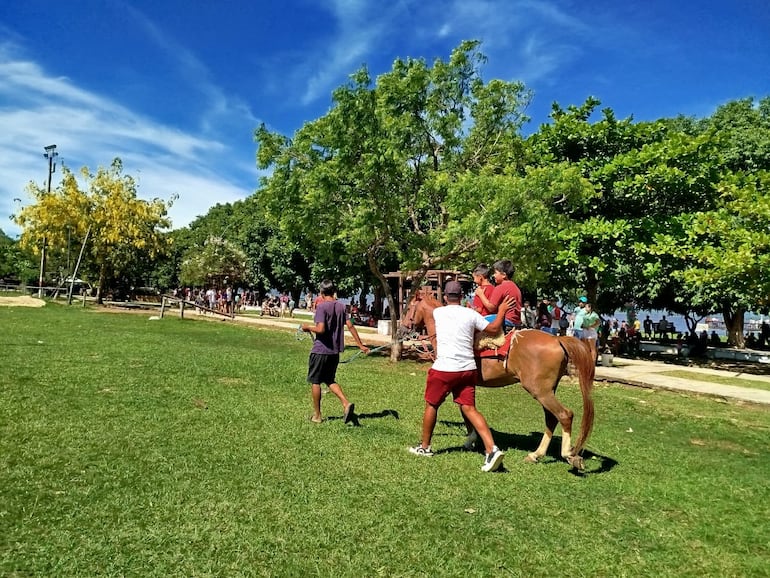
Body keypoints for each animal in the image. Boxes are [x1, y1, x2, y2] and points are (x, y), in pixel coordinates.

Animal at [400, 290, 596, 470]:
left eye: (409, 308)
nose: (403, 328)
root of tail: (557, 340)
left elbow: (464, 410)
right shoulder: (465, 384)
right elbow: (466, 410)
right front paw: (472, 439)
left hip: (540, 391)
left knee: (564, 415)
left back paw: (568, 454)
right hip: (547, 391)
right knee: (551, 418)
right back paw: (536, 454)